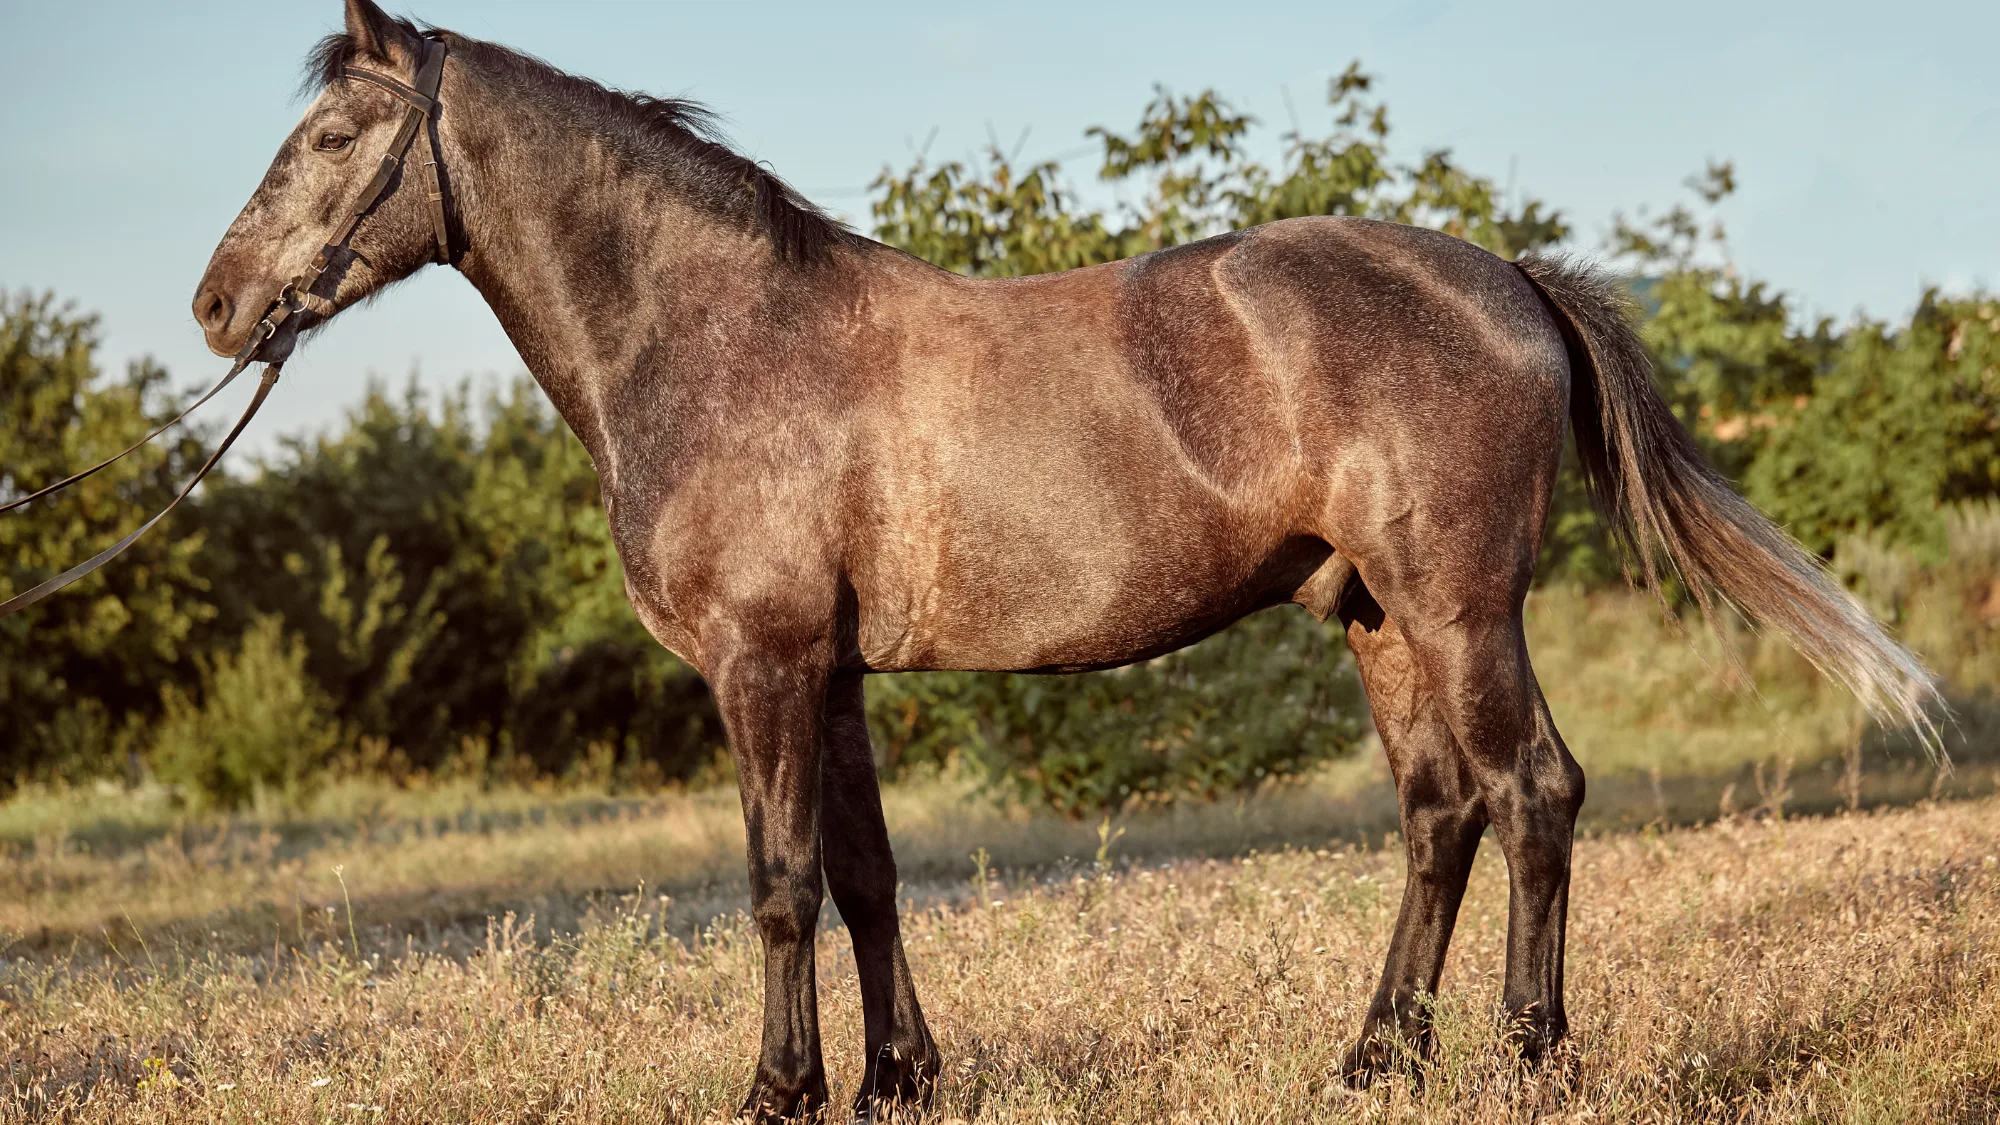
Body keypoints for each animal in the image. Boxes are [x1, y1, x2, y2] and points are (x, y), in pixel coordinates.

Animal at [192, 2, 1938, 1118]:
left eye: (336, 132)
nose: (217, 307)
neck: (722, 338)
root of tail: (1501, 275)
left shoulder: (765, 666)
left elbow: (778, 884)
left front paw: (777, 1089)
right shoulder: (831, 673)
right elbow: (868, 875)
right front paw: (898, 1082)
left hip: (1460, 610)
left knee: (1535, 795)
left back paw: (1533, 1060)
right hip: (1379, 619)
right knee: (1442, 811)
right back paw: (1375, 1060)